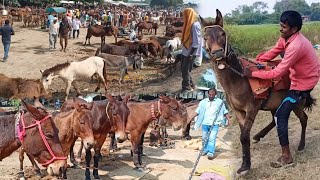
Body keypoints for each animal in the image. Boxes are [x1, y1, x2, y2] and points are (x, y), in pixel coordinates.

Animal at [201, 9, 314, 176]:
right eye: (205, 37)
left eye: (222, 33)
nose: (218, 53)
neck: (238, 80)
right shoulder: (238, 111)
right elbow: (244, 136)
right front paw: (245, 164)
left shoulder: (252, 108)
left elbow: (243, 136)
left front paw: (245, 166)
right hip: (275, 104)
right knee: (275, 120)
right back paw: (258, 135)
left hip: (296, 103)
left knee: (302, 119)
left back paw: (300, 146)